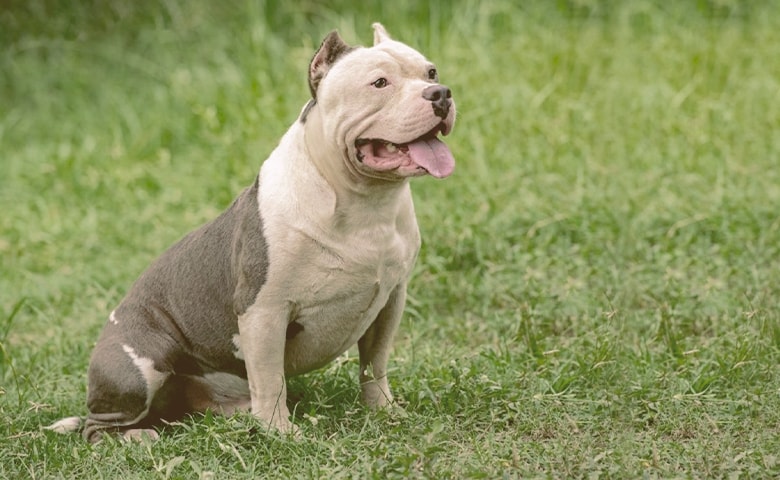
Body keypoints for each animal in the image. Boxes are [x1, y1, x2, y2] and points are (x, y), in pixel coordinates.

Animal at [45, 22, 454, 442]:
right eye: (379, 83)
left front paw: (384, 411)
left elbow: (374, 364)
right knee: (97, 427)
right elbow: (271, 379)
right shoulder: (263, 311)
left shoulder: (391, 299)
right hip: (139, 366)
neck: (365, 202)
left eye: (431, 72)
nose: (440, 93)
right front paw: (281, 433)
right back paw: (136, 437)